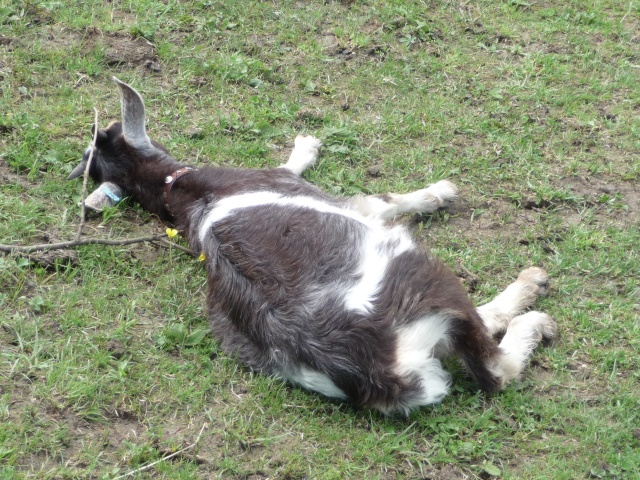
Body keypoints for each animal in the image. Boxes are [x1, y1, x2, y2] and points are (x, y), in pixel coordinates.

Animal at [67, 77, 556, 414]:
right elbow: (381, 198)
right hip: (425, 271)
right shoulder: (340, 201)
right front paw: (440, 192)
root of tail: (384, 373)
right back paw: (531, 305)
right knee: (496, 367)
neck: (182, 190)